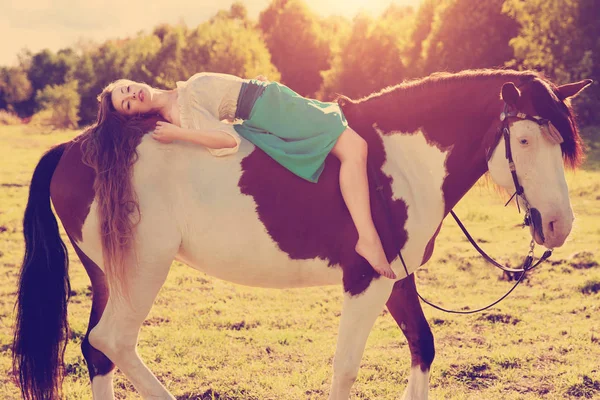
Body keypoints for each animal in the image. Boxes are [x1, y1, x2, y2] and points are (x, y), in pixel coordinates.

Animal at [12, 69, 592, 400]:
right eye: (523, 139)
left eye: (560, 141)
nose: (559, 225)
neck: (398, 161)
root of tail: (77, 146)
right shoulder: (366, 282)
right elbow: (346, 368)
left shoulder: (396, 279)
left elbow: (423, 347)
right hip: (142, 271)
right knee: (111, 341)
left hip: (109, 276)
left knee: (97, 351)